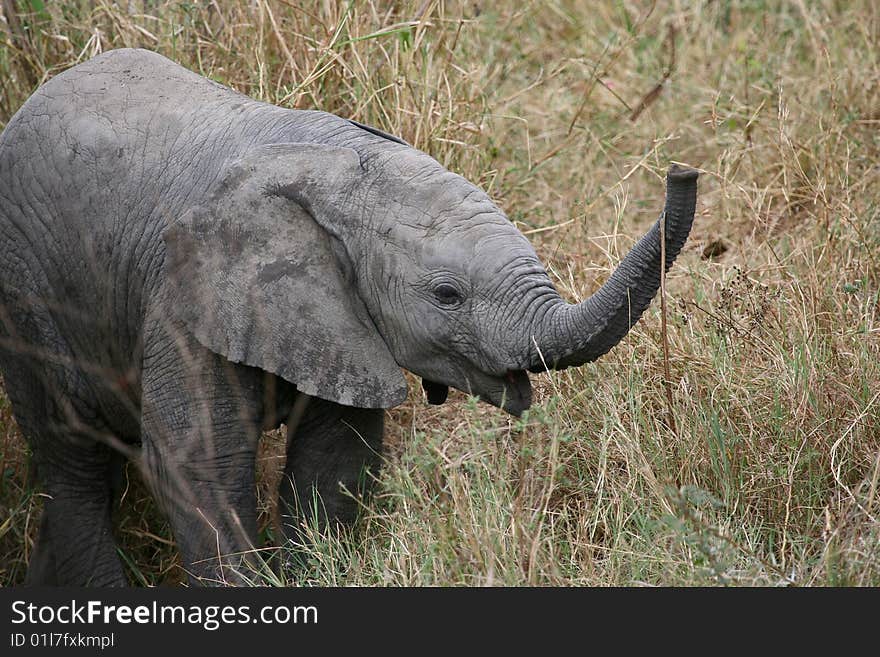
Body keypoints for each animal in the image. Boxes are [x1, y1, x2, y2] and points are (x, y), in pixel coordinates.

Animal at [0, 50, 700, 584]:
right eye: (447, 294)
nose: (682, 168)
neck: (336, 172)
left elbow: (333, 465)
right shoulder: (183, 297)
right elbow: (198, 463)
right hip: (25, 293)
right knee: (75, 462)